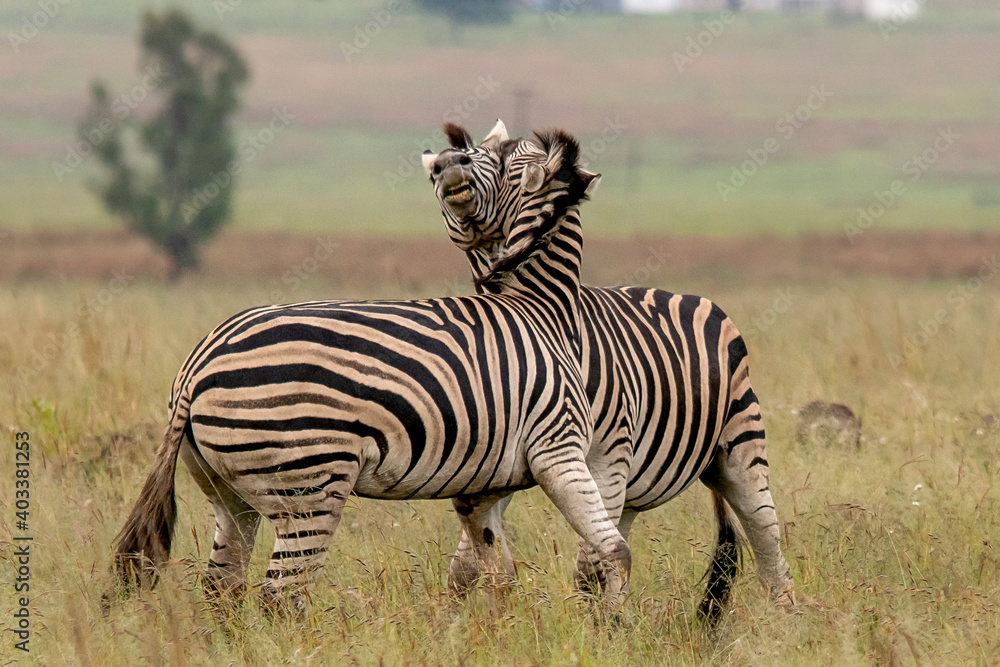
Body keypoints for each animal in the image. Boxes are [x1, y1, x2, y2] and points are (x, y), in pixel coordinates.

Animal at [110, 128, 633, 611]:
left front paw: (497, 628)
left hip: (229, 496)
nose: (444, 162)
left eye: (495, 158)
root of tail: (199, 364)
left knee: (224, 590)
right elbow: (613, 550)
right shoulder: (558, 449)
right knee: (282, 597)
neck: (542, 311)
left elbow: (493, 571)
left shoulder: (483, 486)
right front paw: (613, 626)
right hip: (311, 488)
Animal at [422, 120, 795, 621]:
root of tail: (689, 295)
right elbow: (466, 563)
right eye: (471, 152)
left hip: (737, 445)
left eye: (495, 160)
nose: (445, 163)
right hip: (632, 478)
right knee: (619, 530)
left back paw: (788, 623)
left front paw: (595, 626)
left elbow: (587, 561)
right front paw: (462, 622)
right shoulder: (518, 456)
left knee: (768, 545)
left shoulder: (598, 452)